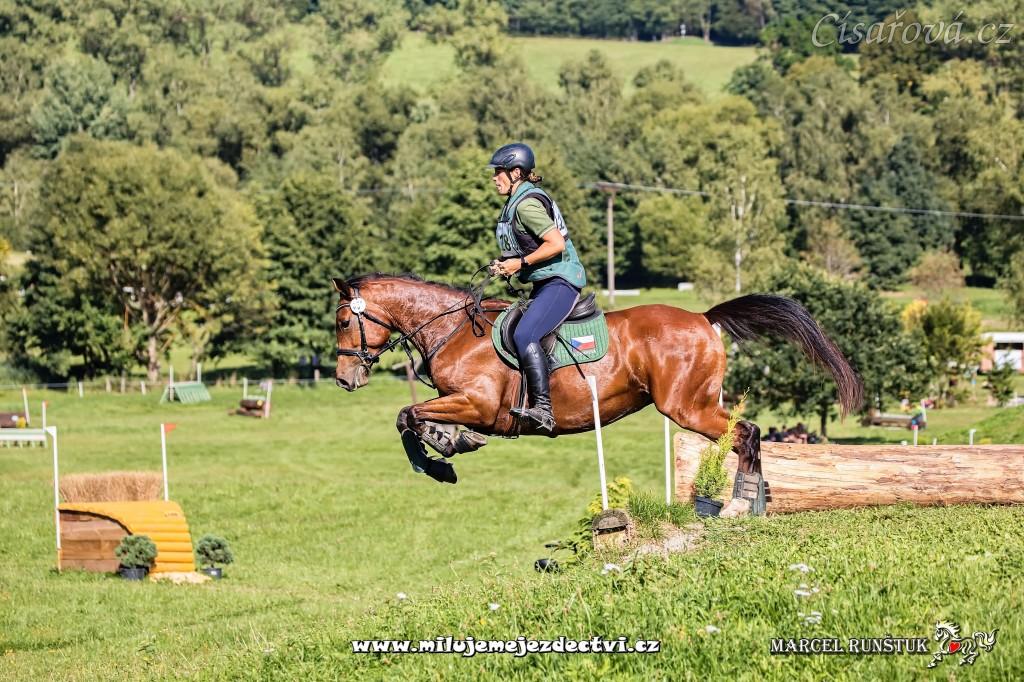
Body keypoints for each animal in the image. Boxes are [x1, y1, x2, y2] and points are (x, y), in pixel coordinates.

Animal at [332, 273, 863, 486]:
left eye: (340, 322)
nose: (343, 380)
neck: (455, 330)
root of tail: (702, 317)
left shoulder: (478, 405)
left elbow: (407, 415)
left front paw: (444, 454)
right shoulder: (458, 402)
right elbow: (411, 420)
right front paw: (444, 449)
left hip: (687, 405)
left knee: (746, 434)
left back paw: (743, 502)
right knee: (745, 435)